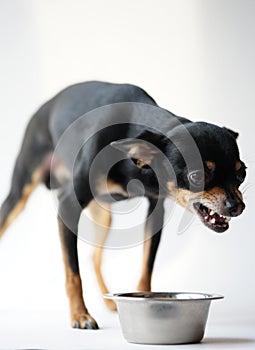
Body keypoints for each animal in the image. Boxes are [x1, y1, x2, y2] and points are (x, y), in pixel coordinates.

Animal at [0, 81, 247, 328]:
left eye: (241, 173)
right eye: (196, 176)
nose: (237, 206)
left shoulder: (155, 212)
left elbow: (146, 268)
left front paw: (148, 304)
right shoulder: (67, 207)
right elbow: (73, 273)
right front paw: (80, 315)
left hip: (105, 216)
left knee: (94, 257)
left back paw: (108, 299)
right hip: (19, 194)